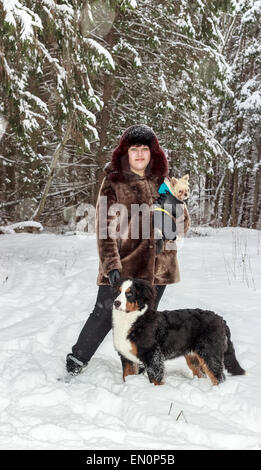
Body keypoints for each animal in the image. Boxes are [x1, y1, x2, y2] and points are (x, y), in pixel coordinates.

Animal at [111, 278, 244, 384]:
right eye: (118, 291)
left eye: (130, 293)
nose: (116, 303)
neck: (131, 319)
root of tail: (220, 319)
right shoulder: (126, 357)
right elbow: (126, 375)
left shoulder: (153, 356)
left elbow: (155, 379)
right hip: (193, 357)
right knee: (202, 374)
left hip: (209, 353)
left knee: (218, 377)